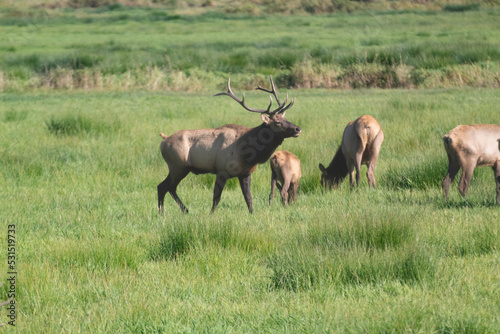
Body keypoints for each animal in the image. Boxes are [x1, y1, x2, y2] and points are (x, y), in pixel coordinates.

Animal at [158, 76, 302, 214]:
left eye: (285, 118)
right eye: (277, 122)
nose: (298, 129)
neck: (248, 153)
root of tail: (164, 140)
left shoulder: (245, 173)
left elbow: (248, 197)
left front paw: (252, 214)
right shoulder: (222, 170)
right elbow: (216, 197)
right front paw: (211, 215)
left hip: (180, 168)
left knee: (167, 187)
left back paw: (176, 211)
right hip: (177, 166)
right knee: (164, 186)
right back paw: (167, 212)